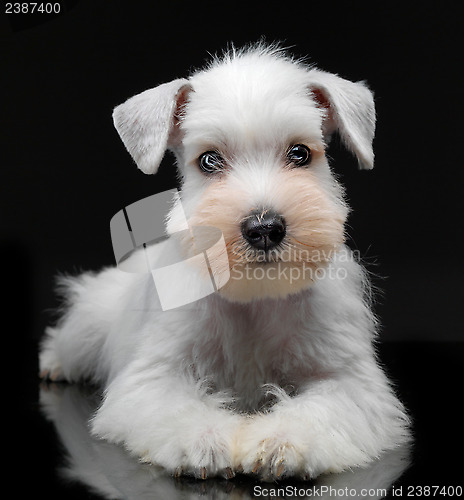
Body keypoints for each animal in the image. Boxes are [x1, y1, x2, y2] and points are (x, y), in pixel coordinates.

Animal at [39, 45, 410, 482]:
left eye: (300, 153)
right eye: (209, 161)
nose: (264, 228)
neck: (253, 300)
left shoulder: (349, 381)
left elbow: (318, 411)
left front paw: (281, 442)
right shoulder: (154, 377)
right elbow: (178, 407)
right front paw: (205, 441)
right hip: (90, 323)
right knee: (67, 339)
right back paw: (53, 363)